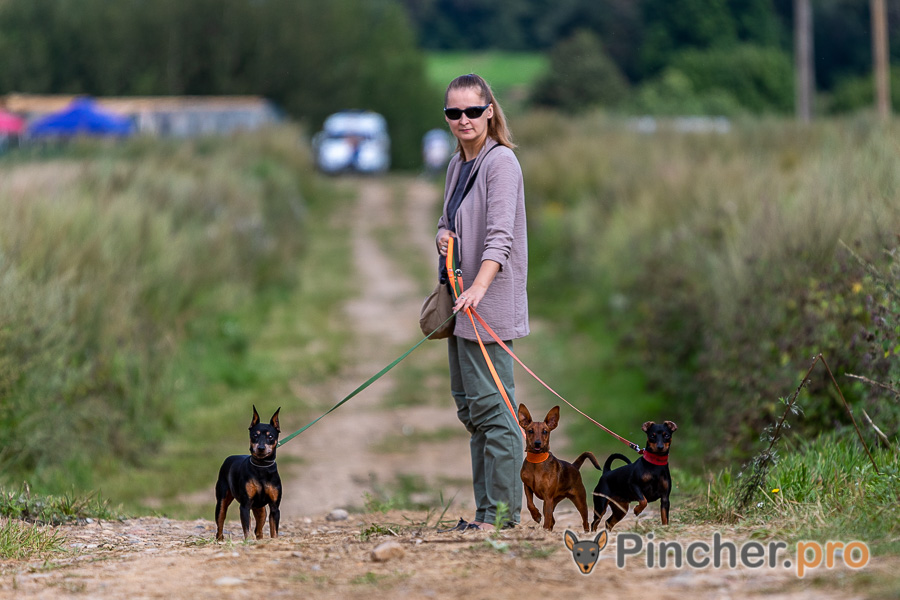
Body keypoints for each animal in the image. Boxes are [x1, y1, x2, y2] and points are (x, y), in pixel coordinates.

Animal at [214, 406, 282, 540]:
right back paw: (220, 540)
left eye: (270, 437)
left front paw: (275, 540)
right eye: (255, 435)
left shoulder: (275, 507)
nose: (261, 448)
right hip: (221, 502)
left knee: (258, 530)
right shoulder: (245, 506)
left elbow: (274, 531)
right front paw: (248, 541)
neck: (262, 467)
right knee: (220, 524)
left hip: (261, 510)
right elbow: (247, 528)